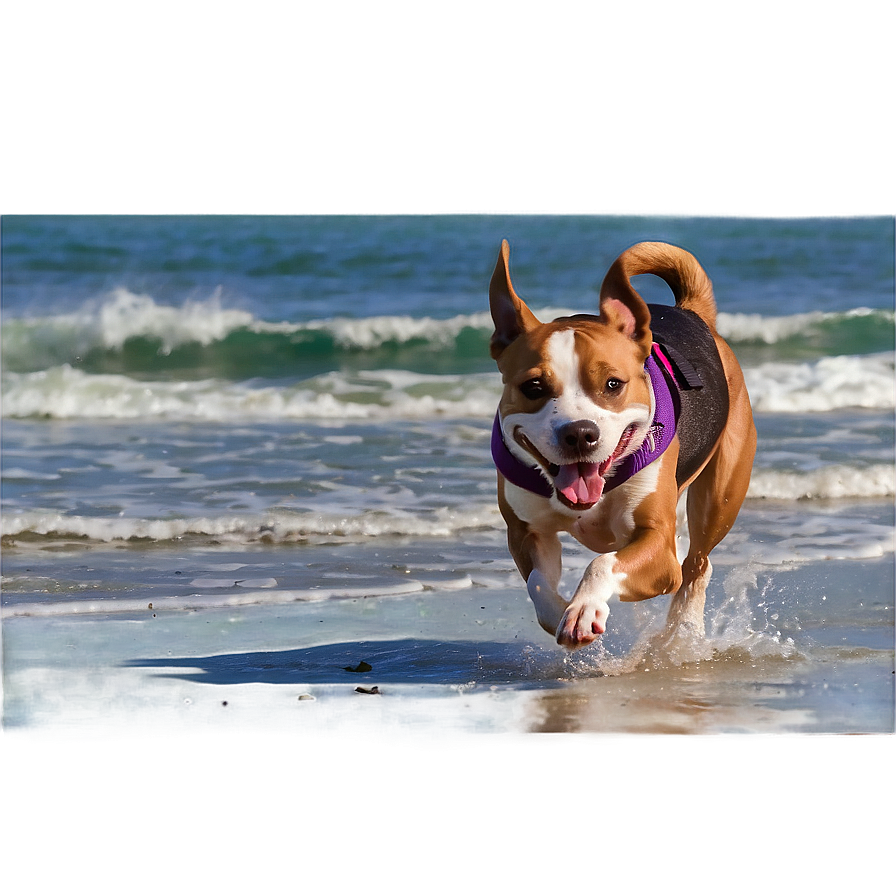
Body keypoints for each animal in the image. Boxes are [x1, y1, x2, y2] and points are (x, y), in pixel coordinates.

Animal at [490, 242, 756, 648]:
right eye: (533, 387)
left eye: (613, 384)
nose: (580, 433)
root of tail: (691, 312)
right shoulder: (526, 532)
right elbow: (538, 585)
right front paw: (561, 612)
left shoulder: (658, 546)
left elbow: (603, 563)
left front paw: (584, 608)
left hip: (720, 500)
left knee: (697, 564)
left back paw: (684, 630)